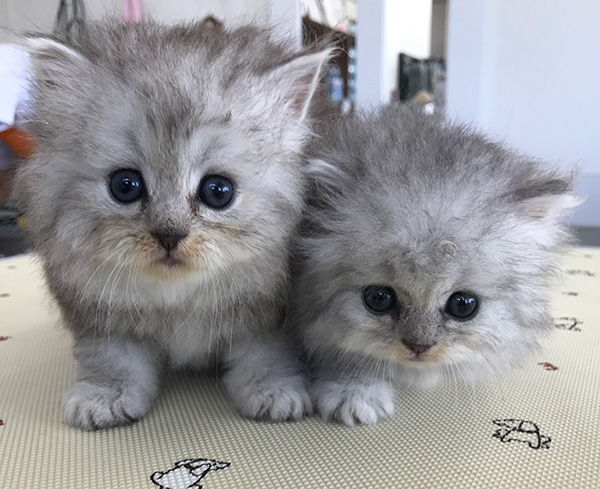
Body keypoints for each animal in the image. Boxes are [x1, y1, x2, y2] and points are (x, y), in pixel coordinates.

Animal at [15, 19, 332, 428]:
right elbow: (113, 360)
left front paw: (273, 389)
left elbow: (264, 355)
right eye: (125, 185)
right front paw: (105, 394)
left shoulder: (268, 315)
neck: (178, 299)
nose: (169, 236)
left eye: (217, 191)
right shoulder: (101, 316)